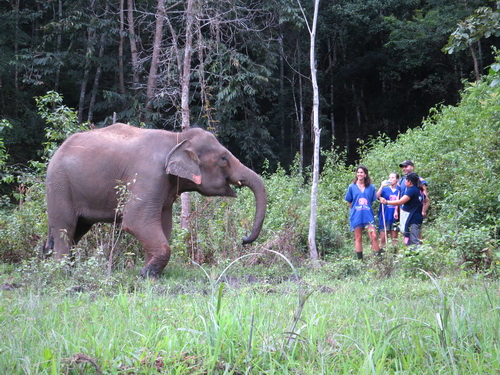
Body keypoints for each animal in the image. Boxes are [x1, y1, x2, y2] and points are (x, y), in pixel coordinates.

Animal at [45, 125, 268, 278]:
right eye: (223, 159)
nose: (244, 239)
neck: (177, 138)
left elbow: (163, 224)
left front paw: (150, 272)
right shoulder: (148, 175)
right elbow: (136, 221)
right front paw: (146, 274)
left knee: (77, 231)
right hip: (59, 186)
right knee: (65, 228)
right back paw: (63, 274)